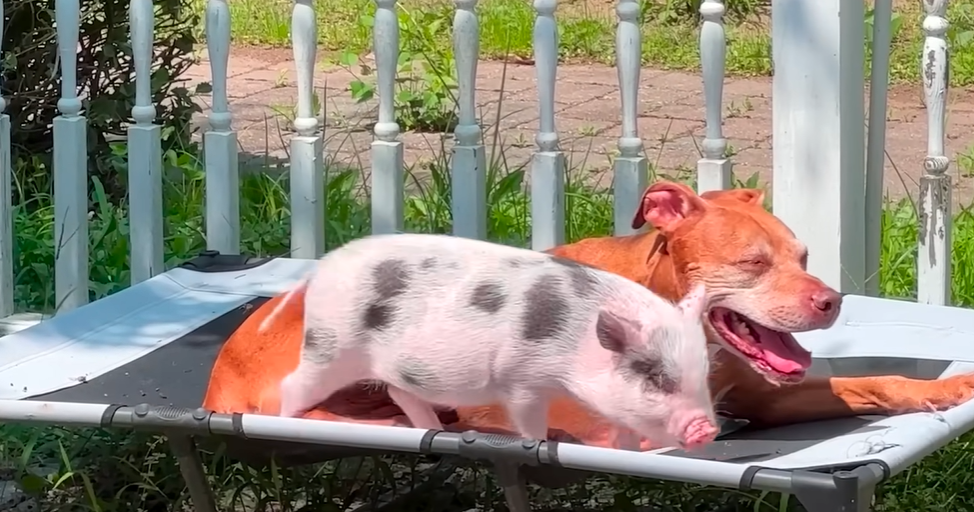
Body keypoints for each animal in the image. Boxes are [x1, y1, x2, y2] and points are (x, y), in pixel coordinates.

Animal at [273, 233, 719, 450]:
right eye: (657, 378)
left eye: (704, 376)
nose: (707, 430)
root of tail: (324, 266)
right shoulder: (520, 380)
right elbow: (530, 424)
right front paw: (540, 444)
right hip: (330, 348)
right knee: (291, 385)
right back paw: (286, 421)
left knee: (401, 392)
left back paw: (435, 430)